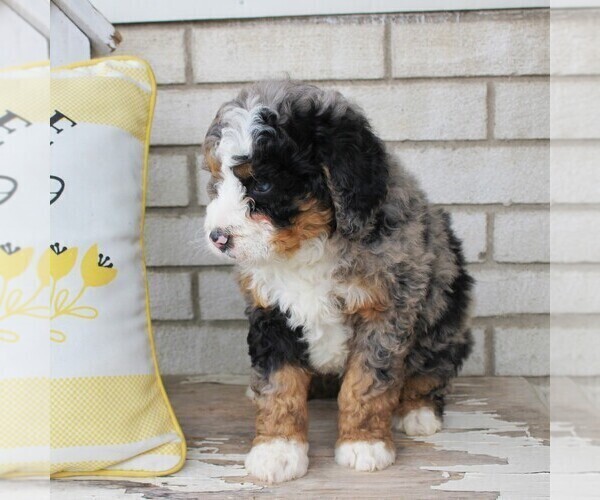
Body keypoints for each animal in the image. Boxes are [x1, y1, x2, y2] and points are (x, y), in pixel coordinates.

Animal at [202, 80, 474, 482]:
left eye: (263, 184)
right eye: (218, 182)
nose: (217, 238)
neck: (308, 245)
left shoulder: (386, 312)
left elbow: (366, 383)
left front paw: (364, 444)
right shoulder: (271, 312)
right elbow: (279, 382)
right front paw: (277, 449)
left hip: (447, 319)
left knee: (430, 372)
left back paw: (418, 412)